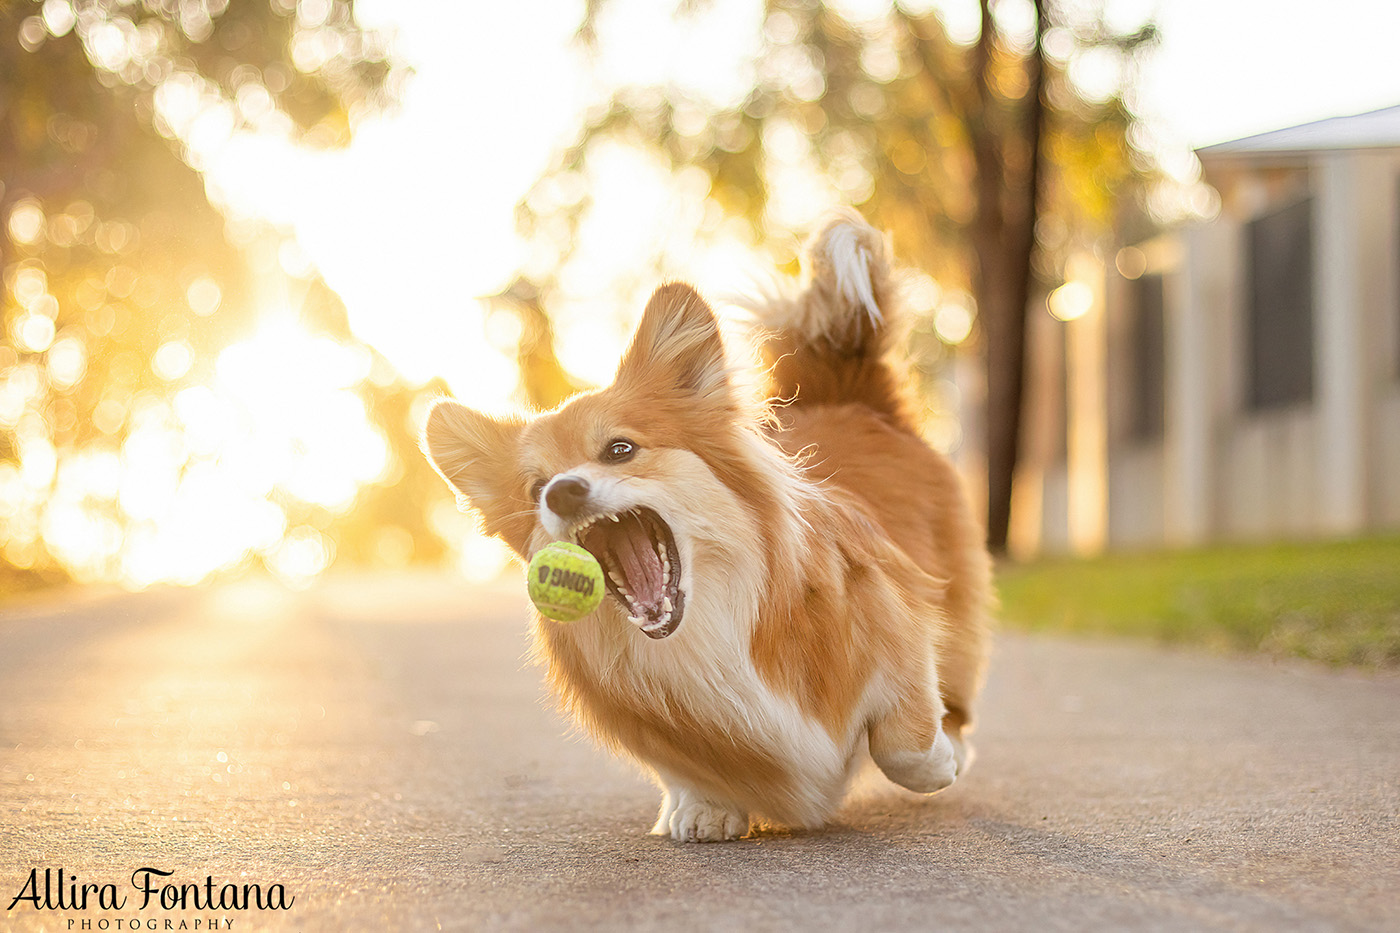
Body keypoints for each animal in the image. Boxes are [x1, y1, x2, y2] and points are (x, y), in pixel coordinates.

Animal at [420, 214, 991, 840]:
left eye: (620, 449)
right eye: (533, 488)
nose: (562, 491)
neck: (708, 630)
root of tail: (850, 395)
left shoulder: (894, 610)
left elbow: (904, 740)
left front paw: (938, 760)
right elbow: (683, 767)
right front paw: (702, 806)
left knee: (955, 683)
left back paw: (956, 743)